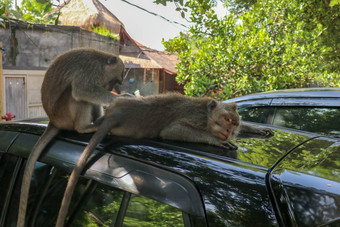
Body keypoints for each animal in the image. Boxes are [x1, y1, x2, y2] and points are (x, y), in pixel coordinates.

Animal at [55, 92, 274, 225]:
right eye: (226, 119)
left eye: (234, 122)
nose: (229, 131)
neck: (207, 116)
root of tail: (116, 114)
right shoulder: (196, 118)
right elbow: (173, 130)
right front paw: (216, 141)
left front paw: (257, 129)